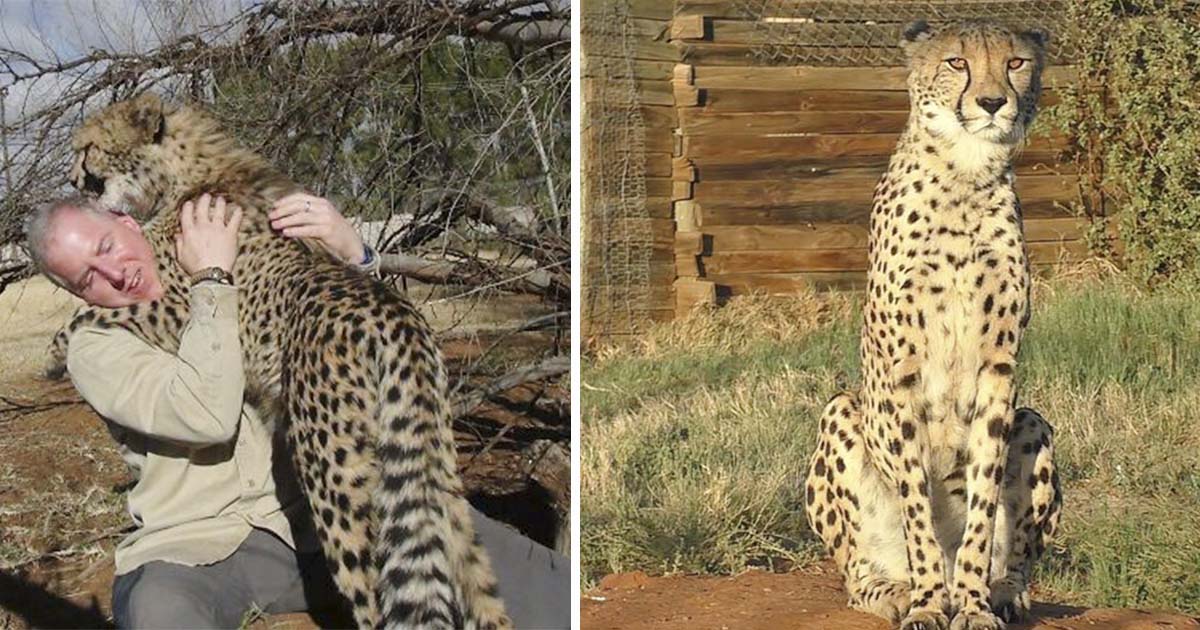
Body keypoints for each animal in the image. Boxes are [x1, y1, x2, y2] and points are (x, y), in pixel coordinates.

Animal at [802, 21, 1062, 630]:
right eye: (956, 63)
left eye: (1016, 62)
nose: (992, 102)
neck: (965, 175)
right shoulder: (903, 367)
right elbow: (916, 505)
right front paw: (926, 602)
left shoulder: (999, 365)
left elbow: (982, 499)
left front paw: (970, 602)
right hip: (840, 413)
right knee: (856, 572)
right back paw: (895, 590)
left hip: (1033, 420)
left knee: (1019, 556)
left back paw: (1002, 592)